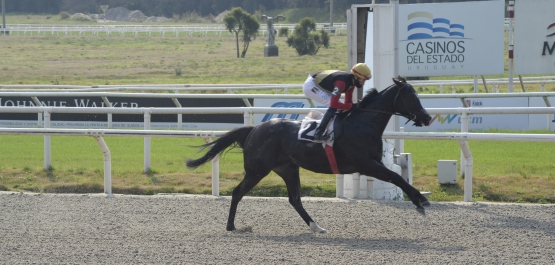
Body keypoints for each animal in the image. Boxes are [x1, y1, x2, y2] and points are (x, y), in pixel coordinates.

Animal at [188, 76, 434, 231]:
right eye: (411, 96)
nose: (427, 117)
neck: (363, 123)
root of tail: (254, 130)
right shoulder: (365, 163)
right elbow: (396, 176)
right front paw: (420, 200)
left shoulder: (371, 164)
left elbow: (396, 177)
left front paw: (419, 200)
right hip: (257, 170)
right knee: (238, 192)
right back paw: (231, 226)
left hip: (287, 168)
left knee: (295, 199)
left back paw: (317, 227)